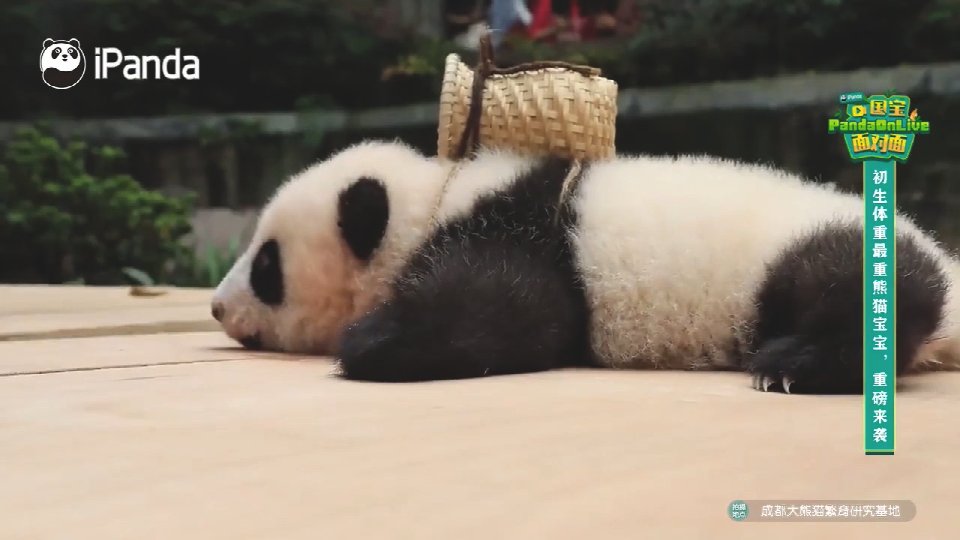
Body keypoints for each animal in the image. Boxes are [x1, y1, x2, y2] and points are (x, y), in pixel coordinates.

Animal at [211, 140, 960, 394]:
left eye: (267, 266)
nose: (216, 306)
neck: (438, 196)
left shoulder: (525, 233)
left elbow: (508, 313)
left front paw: (371, 341)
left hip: (815, 247)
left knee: (848, 289)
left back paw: (792, 363)